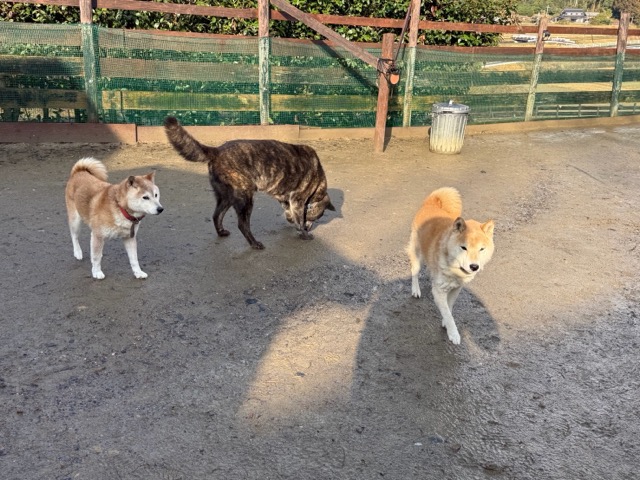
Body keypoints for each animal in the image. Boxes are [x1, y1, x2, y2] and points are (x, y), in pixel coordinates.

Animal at [163, 116, 334, 249]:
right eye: (317, 217)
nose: (309, 227)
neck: (318, 181)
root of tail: (217, 150)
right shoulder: (298, 200)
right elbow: (299, 218)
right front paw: (304, 233)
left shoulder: (286, 199)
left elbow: (289, 212)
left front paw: (292, 221)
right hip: (245, 198)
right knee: (242, 224)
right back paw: (254, 243)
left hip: (226, 198)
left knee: (216, 215)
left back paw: (221, 232)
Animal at [406, 187, 494, 344]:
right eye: (464, 248)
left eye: (481, 249)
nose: (474, 266)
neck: (455, 268)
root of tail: (431, 203)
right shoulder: (438, 291)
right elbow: (448, 313)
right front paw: (453, 333)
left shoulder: (456, 289)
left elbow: (449, 307)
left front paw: (445, 322)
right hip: (417, 254)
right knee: (414, 272)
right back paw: (415, 290)